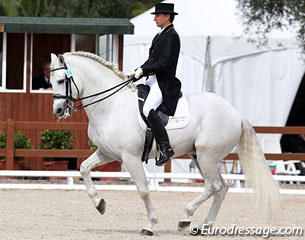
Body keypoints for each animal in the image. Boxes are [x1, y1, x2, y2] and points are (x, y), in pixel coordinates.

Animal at [50, 51, 280, 236]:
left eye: (61, 80)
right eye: (51, 81)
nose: (58, 111)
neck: (111, 105)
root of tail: (235, 113)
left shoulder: (130, 157)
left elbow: (143, 189)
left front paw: (150, 225)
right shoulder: (107, 153)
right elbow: (83, 168)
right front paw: (100, 204)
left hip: (207, 156)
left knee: (213, 186)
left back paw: (186, 218)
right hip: (201, 157)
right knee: (220, 188)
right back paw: (203, 227)